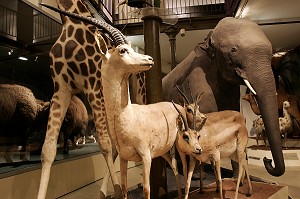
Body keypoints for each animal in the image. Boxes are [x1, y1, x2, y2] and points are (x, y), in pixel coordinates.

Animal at [37, 0, 131, 198]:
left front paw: (118, 190)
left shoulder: (92, 86)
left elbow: (104, 143)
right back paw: (103, 192)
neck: (69, 21)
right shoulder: (60, 90)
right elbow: (47, 149)